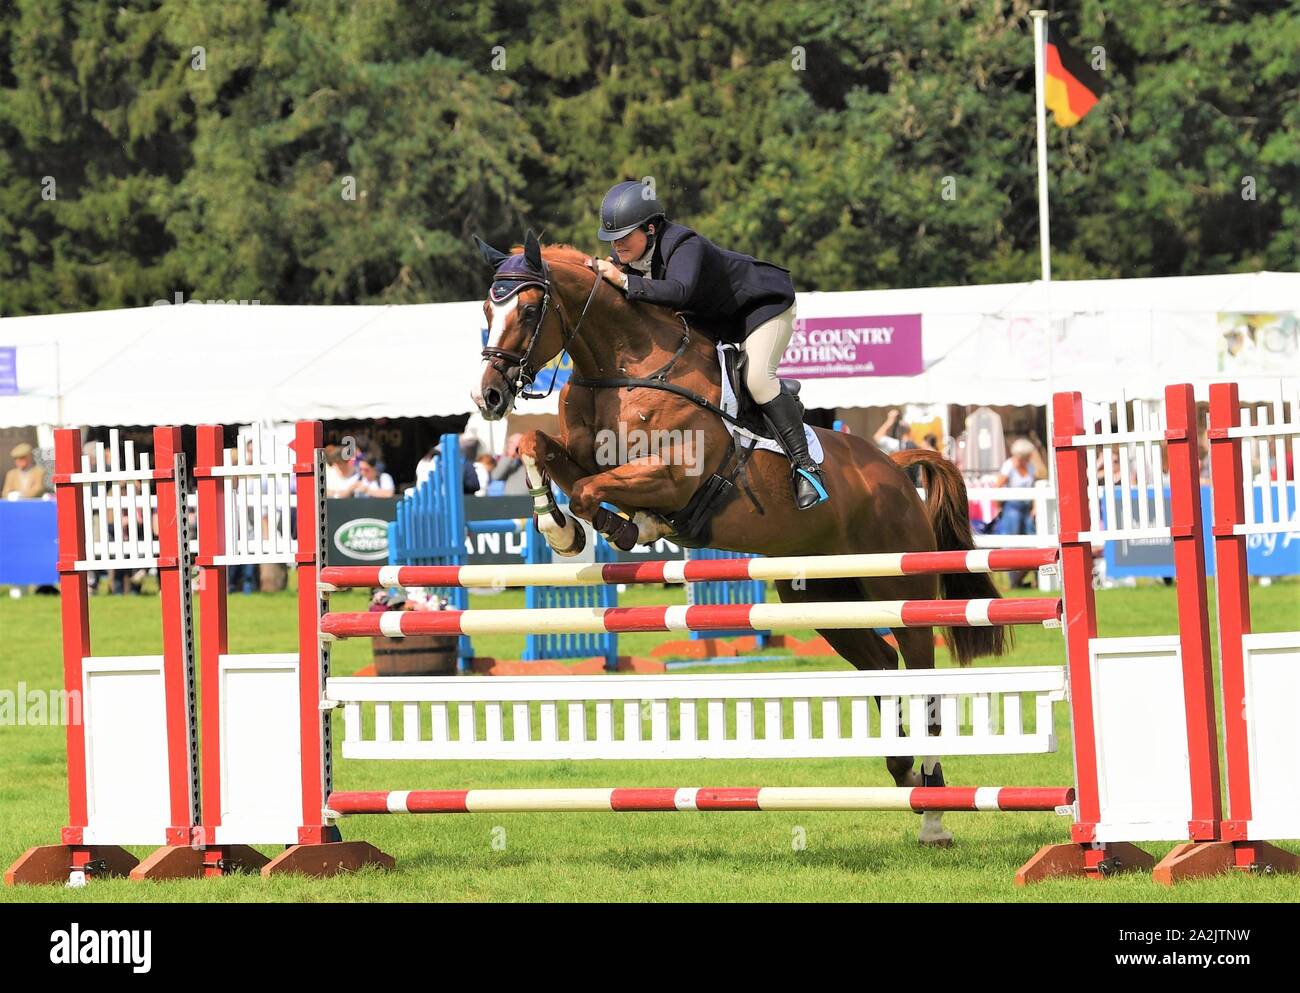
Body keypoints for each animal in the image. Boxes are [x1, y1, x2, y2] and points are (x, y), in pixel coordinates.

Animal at [473, 232, 1008, 847]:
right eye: (486, 311)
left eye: (528, 310)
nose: (488, 397)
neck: (625, 366)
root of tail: (896, 470)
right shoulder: (588, 454)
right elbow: (540, 449)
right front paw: (563, 529)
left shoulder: (674, 475)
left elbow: (590, 491)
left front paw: (617, 527)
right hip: (821, 597)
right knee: (880, 661)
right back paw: (903, 773)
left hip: (900, 588)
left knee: (922, 672)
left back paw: (933, 803)